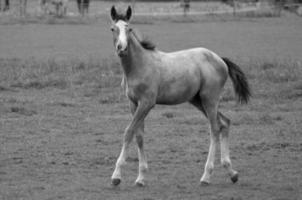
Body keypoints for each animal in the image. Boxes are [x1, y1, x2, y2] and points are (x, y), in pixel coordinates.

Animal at [108, 5, 250, 187]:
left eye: (129, 28)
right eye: (113, 29)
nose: (122, 48)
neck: (139, 65)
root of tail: (220, 59)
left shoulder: (147, 103)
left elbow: (128, 132)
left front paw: (116, 176)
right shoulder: (133, 103)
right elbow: (139, 136)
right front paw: (140, 178)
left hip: (209, 99)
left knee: (215, 128)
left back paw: (206, 176)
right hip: (198, 100)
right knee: (224, 122)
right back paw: (232, 172)